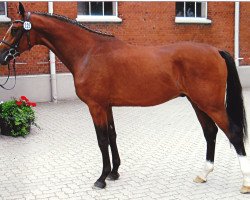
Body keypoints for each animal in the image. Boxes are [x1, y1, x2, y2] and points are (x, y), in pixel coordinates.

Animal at [0, 3, 250, 194]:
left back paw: (245, 183)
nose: (2, 56)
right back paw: (203, 174)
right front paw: (114, 172)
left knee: (234, 133)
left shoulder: (96, 106)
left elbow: (102, 140)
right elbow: (112, 136)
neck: (89, 53)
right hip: (197, 103)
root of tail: (216, 50)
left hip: (211, 104)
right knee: (210, 132)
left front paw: (101, 178)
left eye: (15, 29)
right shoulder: (107, 106)